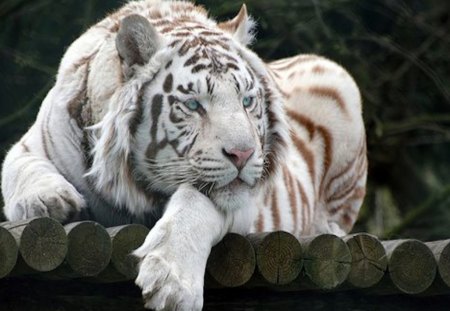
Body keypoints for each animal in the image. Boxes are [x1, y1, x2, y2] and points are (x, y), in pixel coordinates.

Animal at [0, 1, 366, 310]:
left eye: (247, 101)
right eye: (193, 105)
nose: (244, 153)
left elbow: (194, 204)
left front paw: (171, 283)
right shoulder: (33, 142)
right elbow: (22, 166)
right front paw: (49, 199)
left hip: (337, 79)